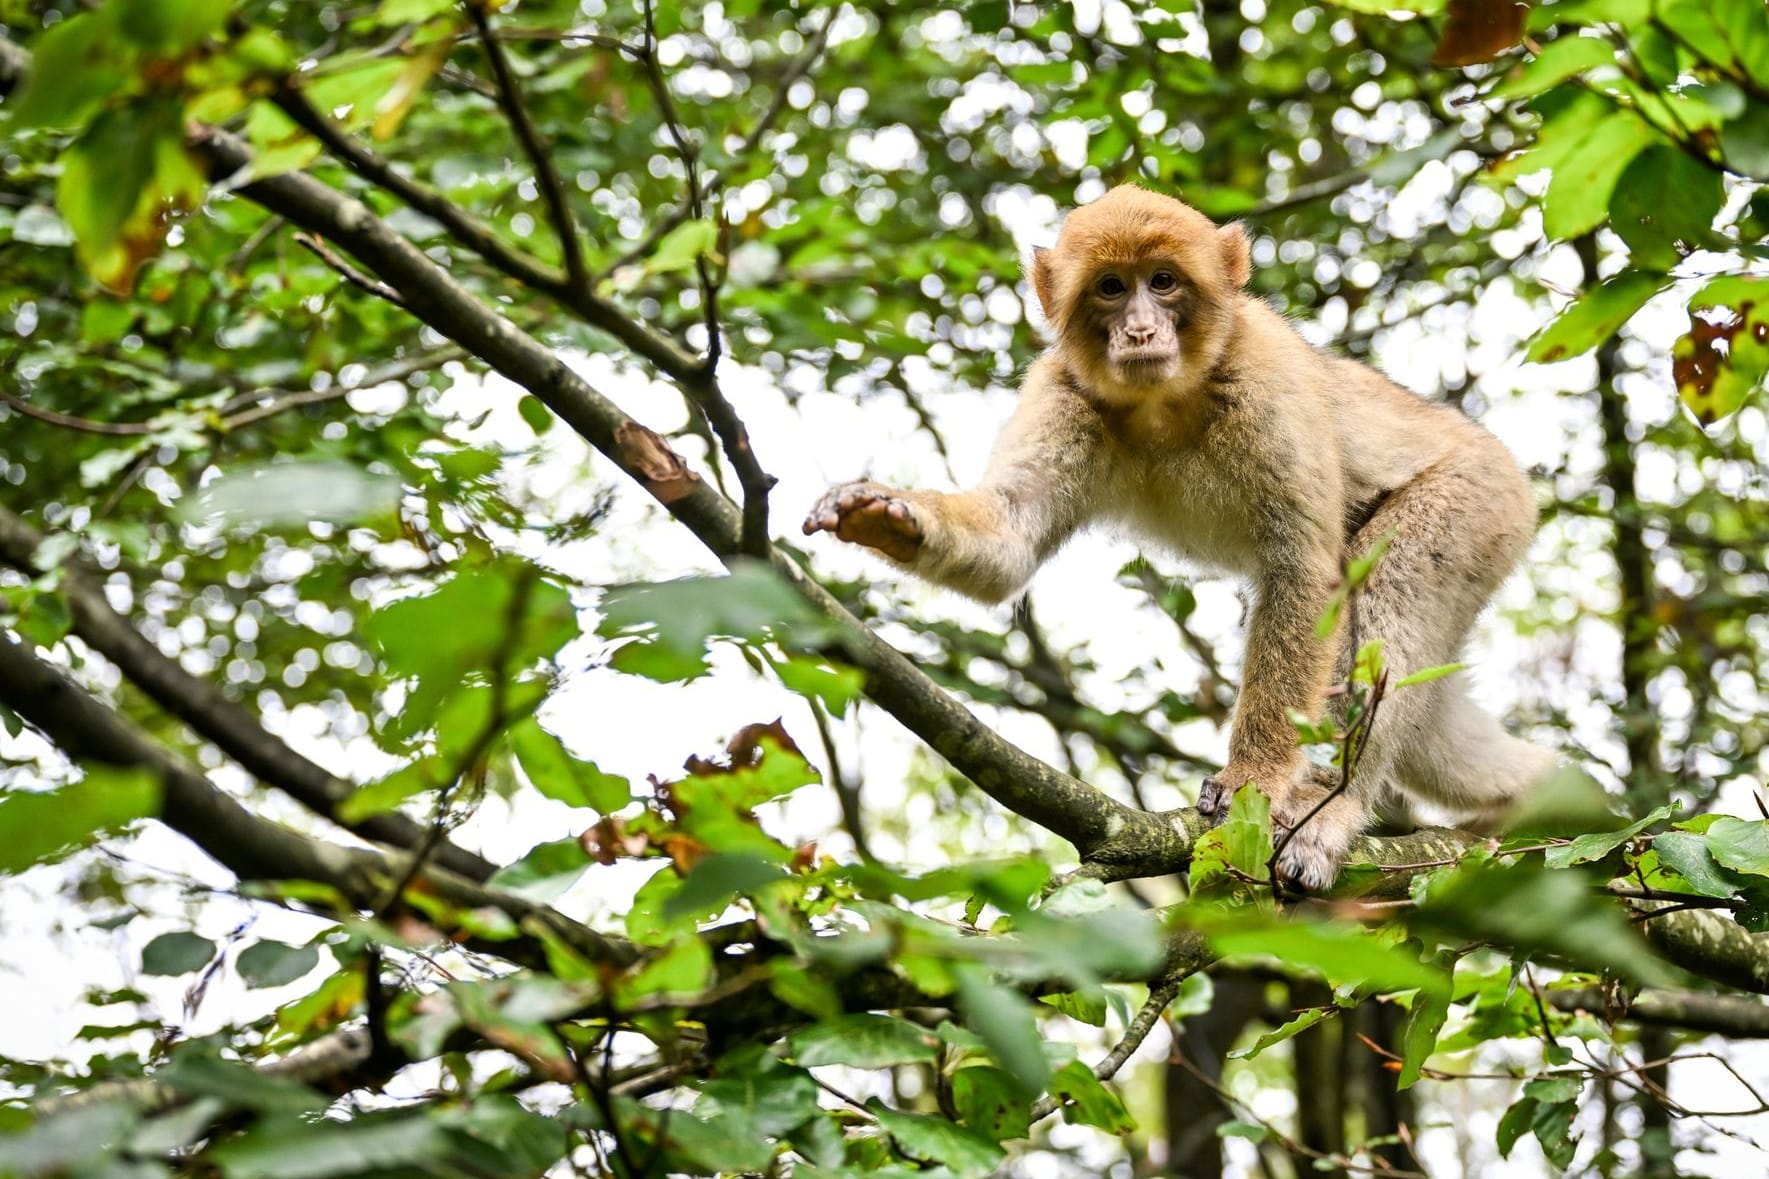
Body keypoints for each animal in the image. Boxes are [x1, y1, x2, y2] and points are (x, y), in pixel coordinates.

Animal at [799, 181, 1549, 881]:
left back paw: (1328, 808)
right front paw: (886, 514)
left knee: (1385, 599)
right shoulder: (1062, 390)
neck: (1165, 398)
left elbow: (1305, 574)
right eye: (1110, 287)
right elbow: (1009, 539)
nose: (1138, 330)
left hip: (1477, 502)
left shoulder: (1267, 380)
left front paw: (1253, 779)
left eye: (1162, 281)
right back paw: (1538, 795)